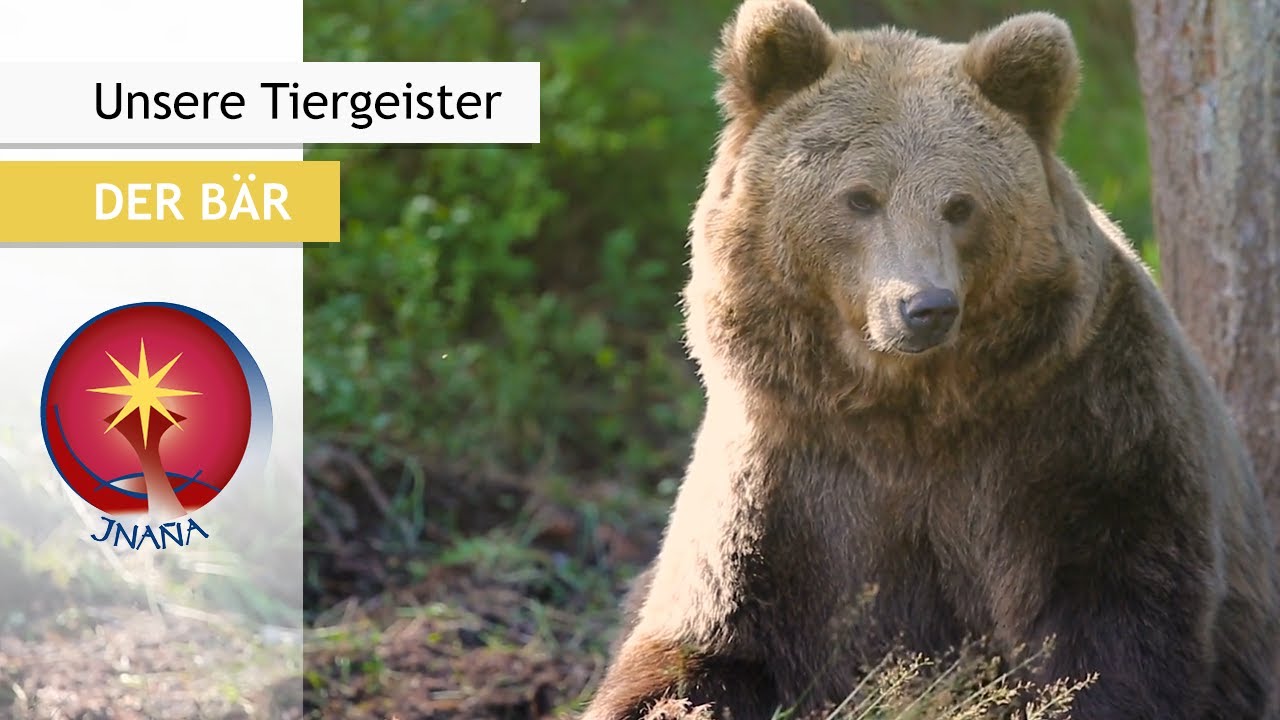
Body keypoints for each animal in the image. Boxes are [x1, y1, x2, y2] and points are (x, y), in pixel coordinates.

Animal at [579, 2, 1280, 719]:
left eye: (960, 204)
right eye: (861, 197)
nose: (926, 306)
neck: (906, 405)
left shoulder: (1089, 423)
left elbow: (1117, 616)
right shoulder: (783, 476)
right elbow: (700, 642)